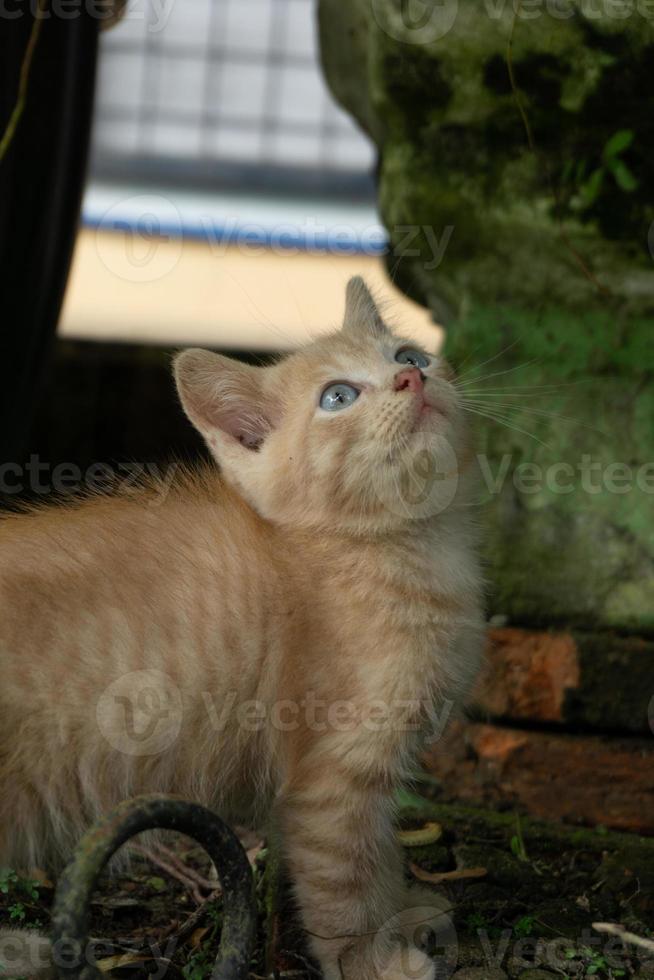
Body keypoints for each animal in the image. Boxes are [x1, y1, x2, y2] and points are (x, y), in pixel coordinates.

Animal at [1, 280, 486, 976]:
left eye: (411, 355)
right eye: (338, 397)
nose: (410, 378)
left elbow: (383, 851)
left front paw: (403, 916)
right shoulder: (329, 777)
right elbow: (345, 880)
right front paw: (370, 958)